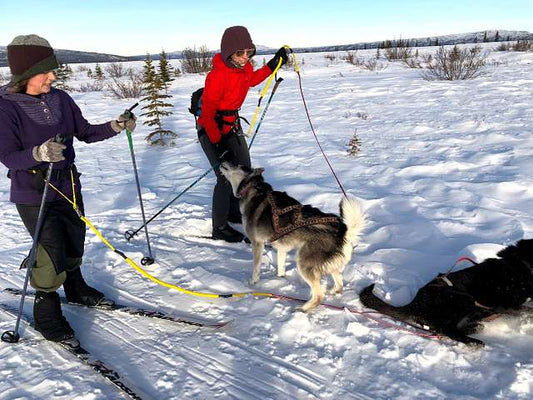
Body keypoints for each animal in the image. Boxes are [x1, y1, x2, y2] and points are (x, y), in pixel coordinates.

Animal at [218, 162, 364, 312]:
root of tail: (343, 231)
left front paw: (253, 283)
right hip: (331, 266)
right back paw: (332, 292)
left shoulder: (257, 243)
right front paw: (280, 279)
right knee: (339, 285)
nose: (223, 161)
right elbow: (281, 266)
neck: (254, 189)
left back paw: (302, 309)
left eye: (238, 165)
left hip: (303, 262)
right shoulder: (281, 247)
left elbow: (256, 268)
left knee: (319, 295)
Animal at [358, 239, 532, 346]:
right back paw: (473, 341)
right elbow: (528, 310)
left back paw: (475, 328)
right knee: (446, 330)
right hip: (463, 298)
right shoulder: (508, 305)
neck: (521, 266)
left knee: (444, 329)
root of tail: (413, 303)